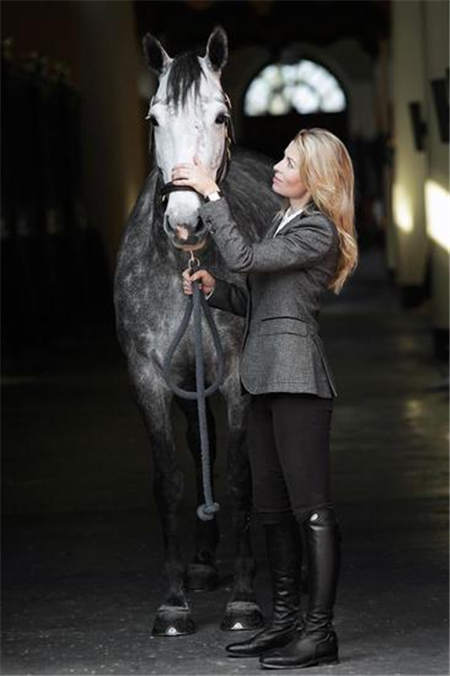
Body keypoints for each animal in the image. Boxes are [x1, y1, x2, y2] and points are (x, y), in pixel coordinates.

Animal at [113, 26, 282, 636]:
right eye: (153, 118)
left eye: (219, 116)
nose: (187, 223)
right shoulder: (149, 376)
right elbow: (170, 480)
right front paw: (173, 602)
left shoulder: (233, 376)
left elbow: (238, 475)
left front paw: (244, 601)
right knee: (198, 441)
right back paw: (205, 563)